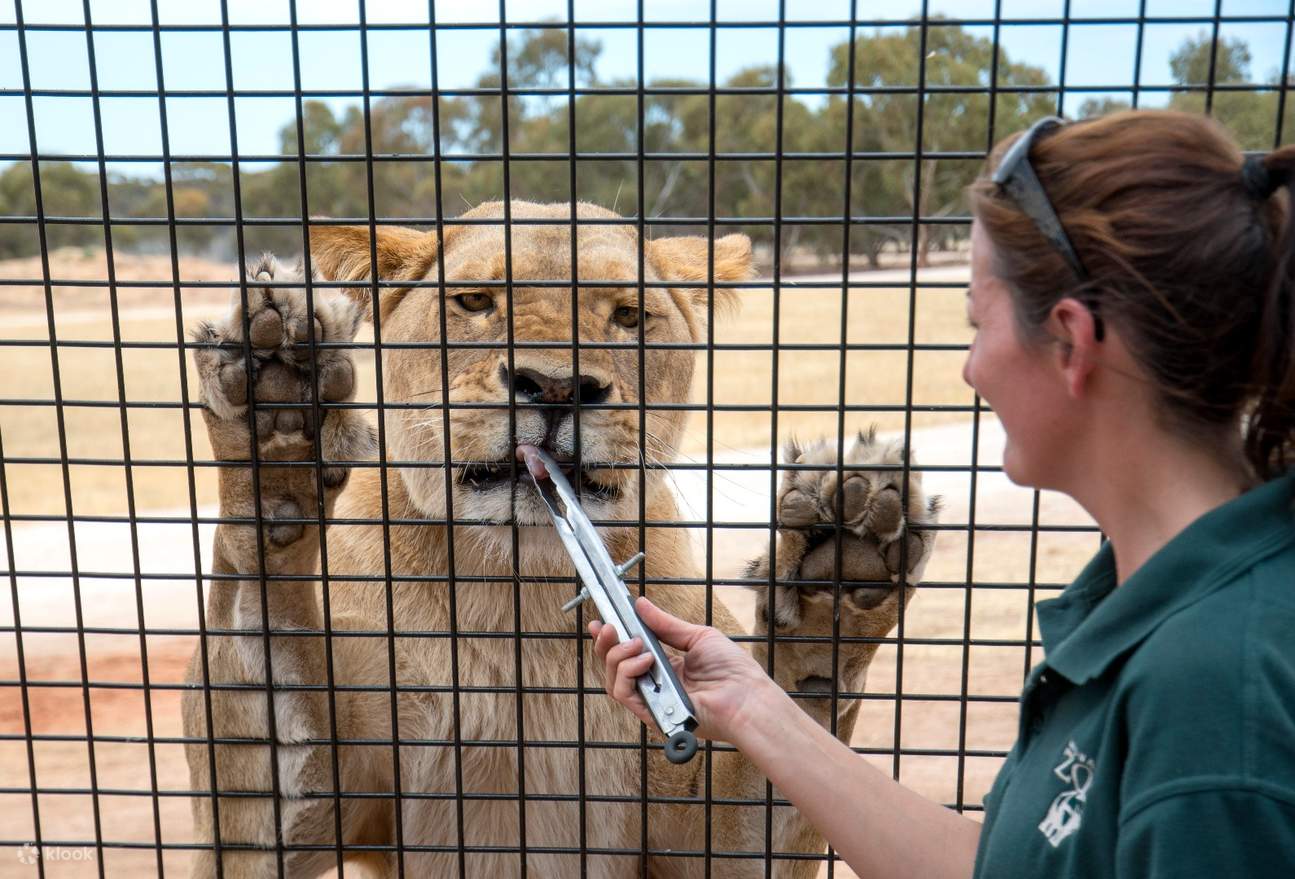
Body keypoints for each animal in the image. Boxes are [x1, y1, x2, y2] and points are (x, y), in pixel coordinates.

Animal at [180, 200, 939, 878]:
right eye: (475, 301)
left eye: (628, 315)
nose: (553, 387)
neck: (518, 583)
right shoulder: (296, 821)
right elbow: (258, 624)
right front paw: (274, 419)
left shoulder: (711, 844)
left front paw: (832, 584)